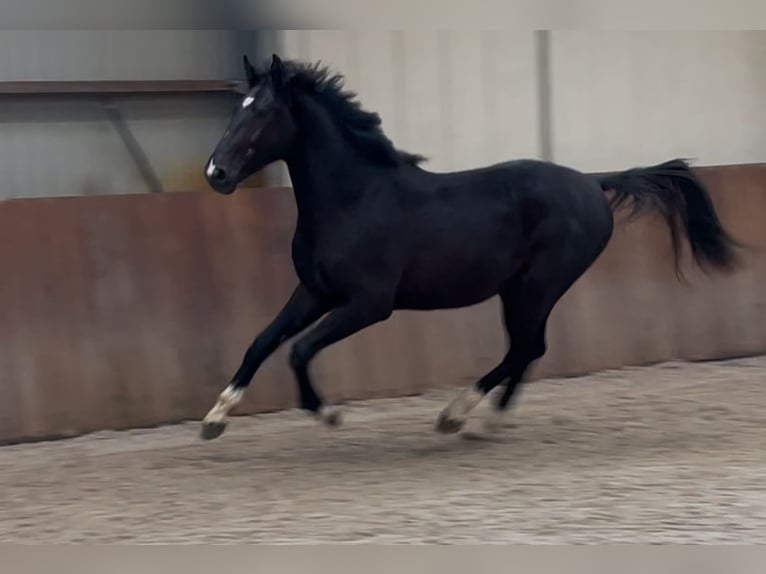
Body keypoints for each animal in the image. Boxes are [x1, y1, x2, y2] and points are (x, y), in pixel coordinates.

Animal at [201, 54, 740, 440]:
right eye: (235, 110)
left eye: (263, 112)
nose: (216, 174)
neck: (354, 199)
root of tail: (593, 183)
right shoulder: (315, 291)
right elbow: (262, 341)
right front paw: (215, 418)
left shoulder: (368, 304)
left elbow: (299, 350)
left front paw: (328, 413)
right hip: (518, 288)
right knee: (528, 347)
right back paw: (485, 418)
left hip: (540, 284)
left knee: (526, 346)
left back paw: (460, 416)